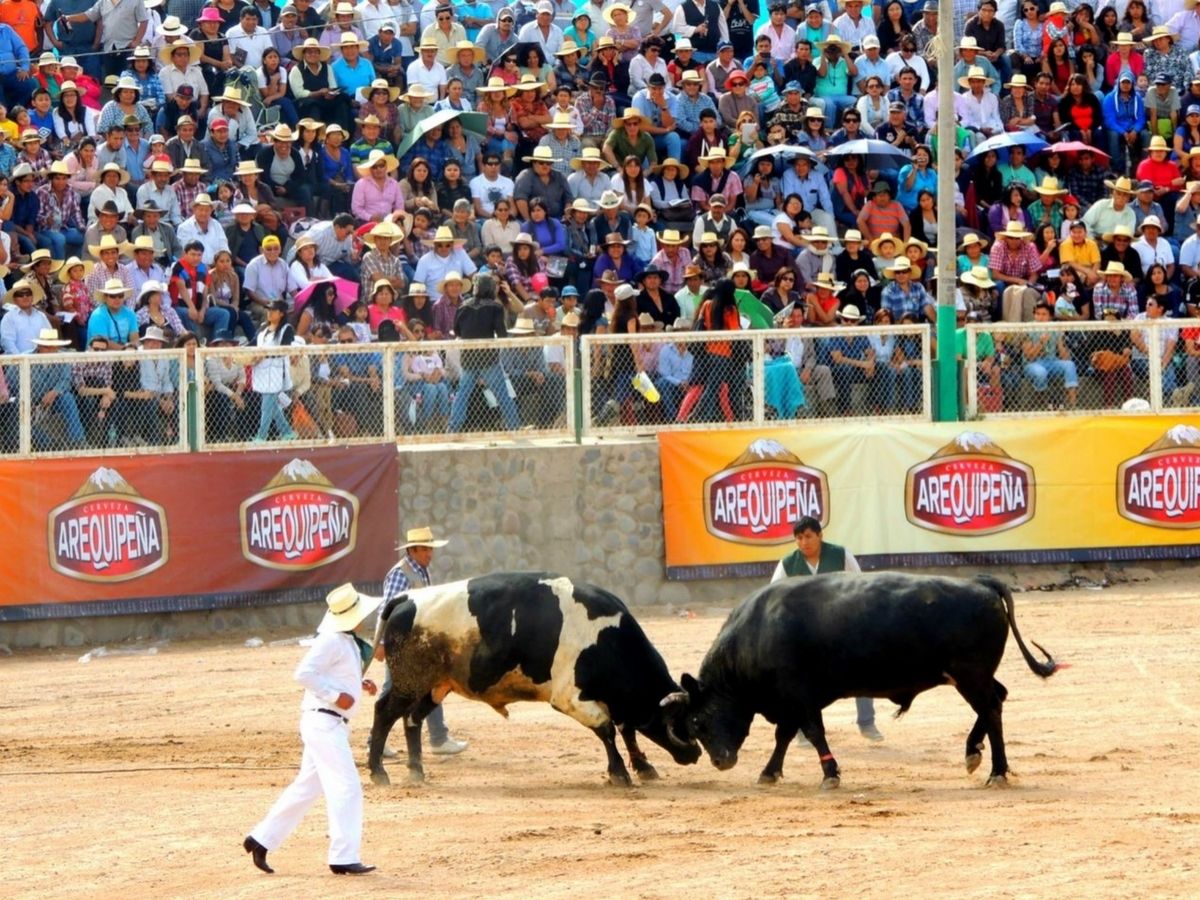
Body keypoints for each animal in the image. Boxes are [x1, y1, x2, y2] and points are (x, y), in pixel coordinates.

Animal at [364, 573, 700, 787]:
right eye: (680, 723)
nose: (696, 753)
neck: (607, 638)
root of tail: (408, 597)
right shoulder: (568, 697)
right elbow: (607, 730)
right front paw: (619, 772)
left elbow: (627, 729)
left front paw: (644, 766)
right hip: (409, 682)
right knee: (384, 713)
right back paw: (379, 773)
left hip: (435, 687)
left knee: (412, 719)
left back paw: (416, 771)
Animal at [662, 578, 1065, 787]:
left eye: (698, 721)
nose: (720, 761)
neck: (755, 634)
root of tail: (980, 583)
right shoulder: (790, 701)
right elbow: (785, 736)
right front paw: (769, 773)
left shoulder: (800, 697)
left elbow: (813, 733)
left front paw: (830, 775)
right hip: (974, 676)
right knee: (997, 699)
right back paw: (972, 753)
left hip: (970, 675)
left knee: (992, 708)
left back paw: (997, 771)